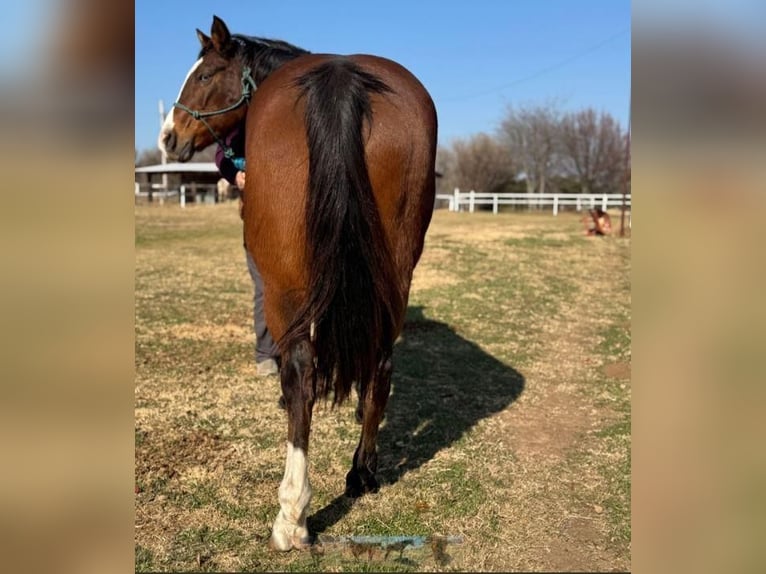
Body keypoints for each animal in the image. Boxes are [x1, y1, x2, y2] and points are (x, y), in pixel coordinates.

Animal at [158, 15, 438, 552]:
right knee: (381, 362)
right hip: (395, 273)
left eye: (204, 75)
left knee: (301, 374)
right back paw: (362, 473)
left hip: (284, 288)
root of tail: (341, 77)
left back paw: (293, 513)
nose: (166, 137)